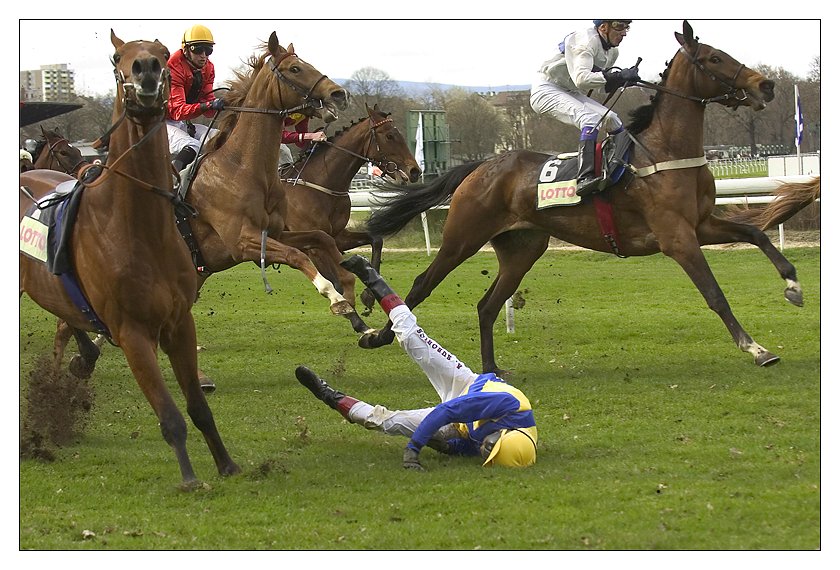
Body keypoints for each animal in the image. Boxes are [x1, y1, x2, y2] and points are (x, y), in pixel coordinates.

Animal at [18, 30, 240, 488]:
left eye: (160, 54)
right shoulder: (133, 332)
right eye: (117, 56)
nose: (147, 71)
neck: (138, 227)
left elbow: (198, 407)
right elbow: (170, 416)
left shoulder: (179, 323)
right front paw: (189, 477)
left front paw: (226, 463)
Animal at [360, 20, 800, 372]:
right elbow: (714, 294)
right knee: (423, 283)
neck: (664, 152)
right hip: (463, 237)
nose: (766, 85)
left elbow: (756, 234)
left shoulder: (701, 224)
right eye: (714, 58)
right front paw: (756, 348)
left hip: (523, 248)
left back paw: (492, 370)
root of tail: (482, 166)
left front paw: (792, 285)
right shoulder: (677, 238)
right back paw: (378, 336)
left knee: (487, 305)